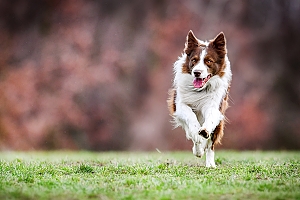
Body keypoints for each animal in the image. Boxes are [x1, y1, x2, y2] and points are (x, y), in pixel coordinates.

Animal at [166, 30, 232, 167]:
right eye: (194, 60)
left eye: (209, 61)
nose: (197, 72)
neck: (200, 90)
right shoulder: (180, 105)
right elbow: (190, 116)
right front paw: (197, 132)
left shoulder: (215, 106)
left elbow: (210, 119)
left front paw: (204, 130)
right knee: (195, 139)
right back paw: (198, 149)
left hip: (219, 125)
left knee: (210, 145)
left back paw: (210, 164)